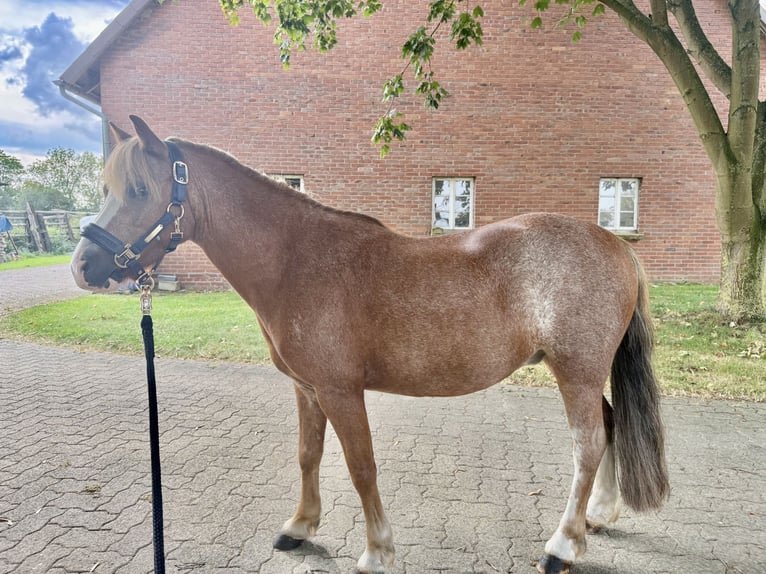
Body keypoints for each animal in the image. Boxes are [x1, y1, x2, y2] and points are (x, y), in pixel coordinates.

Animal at [71, 115, 668, 574]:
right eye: (107, 189)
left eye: (140, 190)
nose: (84, 268)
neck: (296, 260)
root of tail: (616, 242)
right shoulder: (308, 389)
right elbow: (308, 454)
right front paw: (299, 526)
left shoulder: (340, 391)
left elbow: (361, 468)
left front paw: (378, 552)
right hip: (584, 374)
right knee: (609, 425)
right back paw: (598, 516)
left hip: (577, 371)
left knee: (587, 444)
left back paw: (562, 545)